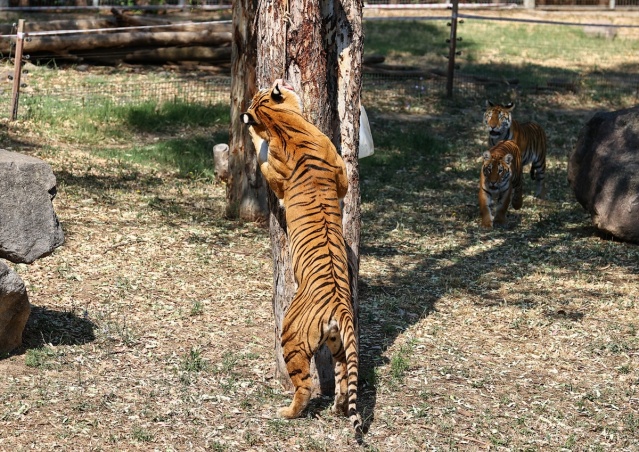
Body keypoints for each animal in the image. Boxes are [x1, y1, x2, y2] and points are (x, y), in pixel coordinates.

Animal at [240, 79, 362, 436]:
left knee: (305, 385)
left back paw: (287, 412)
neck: (284, 122)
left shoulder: (276, 175)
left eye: (260, 93)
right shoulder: (340, 173)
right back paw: (338, 407)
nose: (278, 80)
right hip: (338, 343)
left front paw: (252, 131)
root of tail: (339, 306)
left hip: (291, 335)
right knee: (343, 376)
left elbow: (263, 155)